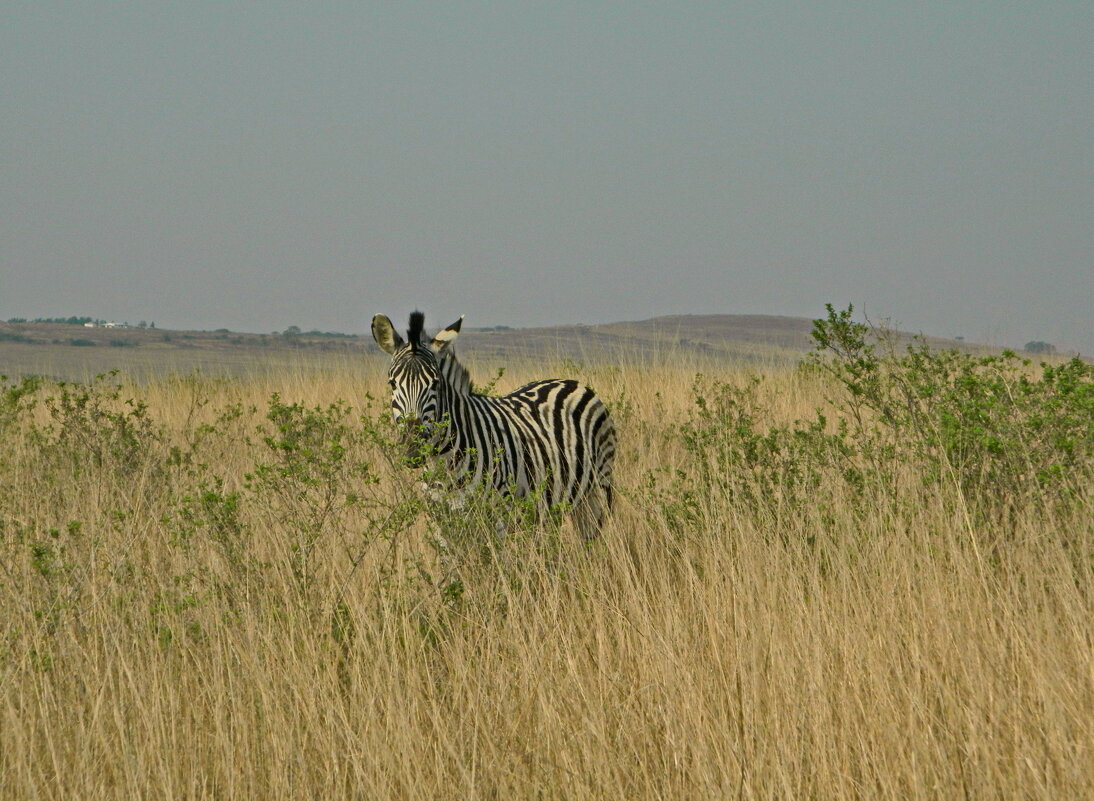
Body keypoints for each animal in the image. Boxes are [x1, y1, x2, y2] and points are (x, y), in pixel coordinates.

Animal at [371, 310, 617, 540]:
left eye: (435, 384)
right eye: (392, 383)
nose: (412, 450)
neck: (443, 464)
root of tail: (572, 382)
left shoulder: (498, 518)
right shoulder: (442, 523)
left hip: (598, 489)